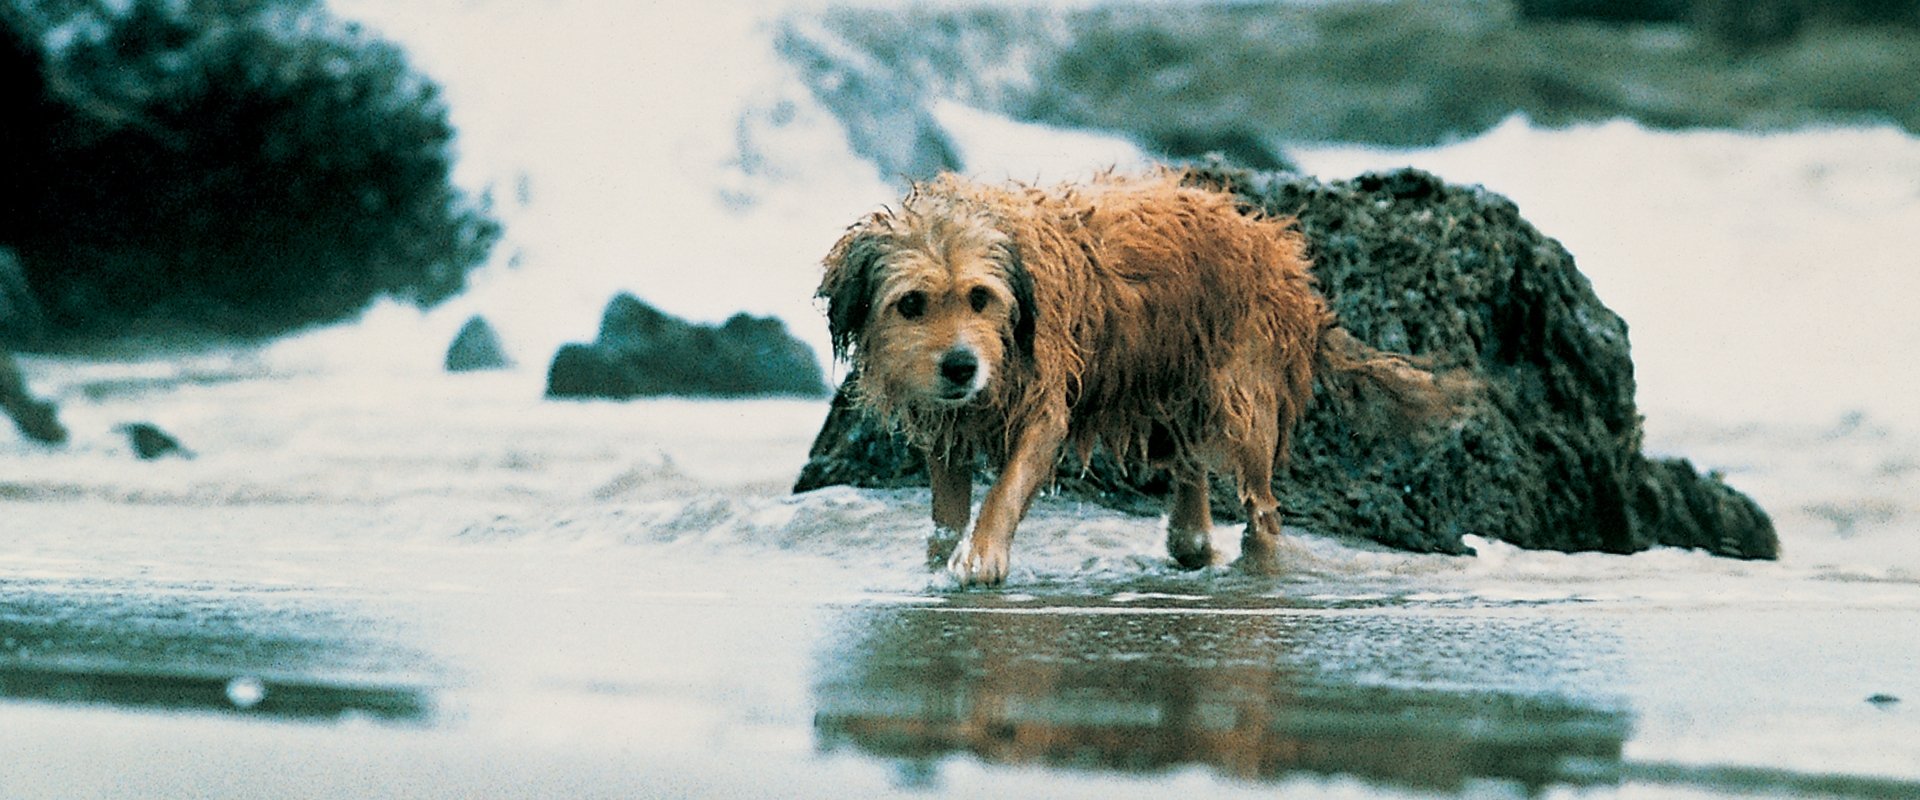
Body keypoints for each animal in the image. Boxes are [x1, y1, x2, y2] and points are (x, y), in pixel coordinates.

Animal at [810, 168, 1451, 587]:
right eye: (911, 304)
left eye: (979, 297)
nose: (962, 366)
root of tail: (1279, 251)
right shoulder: (947, 427)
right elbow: (946, 514)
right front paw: (942, 559)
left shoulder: (1044, 403)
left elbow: (1006, 488)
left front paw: (982, 557)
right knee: (1191, 490)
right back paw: (1193, 543)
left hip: (1244, 399)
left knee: (1262, 511)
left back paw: (1259, 567)